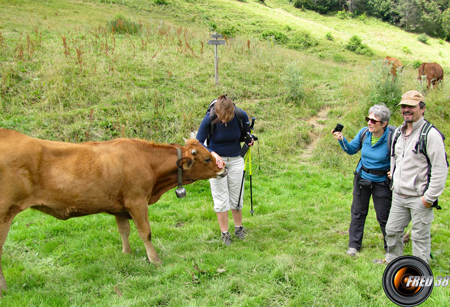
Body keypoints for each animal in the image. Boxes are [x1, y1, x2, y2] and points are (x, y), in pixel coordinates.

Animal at [0, 129, 227, 298]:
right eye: (207, 159)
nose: (223, 169)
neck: (147, 161)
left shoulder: (119, 206)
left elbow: (124, 230)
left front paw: (126, 254)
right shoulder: (137, 201)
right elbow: (145, 232)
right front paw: (155, 260)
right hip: (4, 214)